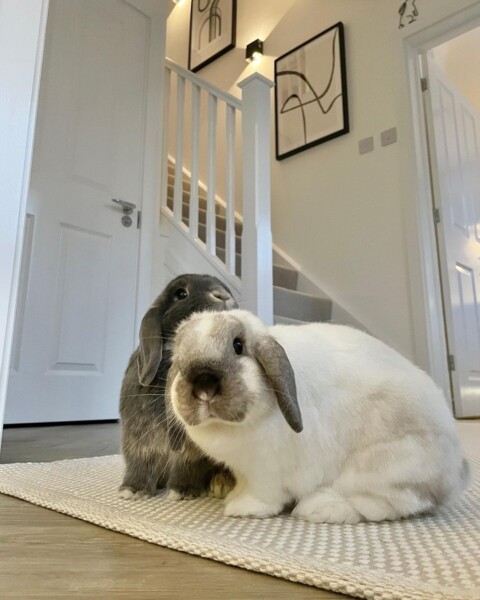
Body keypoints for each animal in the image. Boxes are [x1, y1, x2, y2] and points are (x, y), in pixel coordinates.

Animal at [119, 274, 237, 500]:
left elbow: (187, 464)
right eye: (181, 294)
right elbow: (141, 462)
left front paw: (182, 491)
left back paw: (221, 484)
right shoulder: (139, 439)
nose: (224, 296)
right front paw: (133, 490)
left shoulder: (192, 449)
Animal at [165, 312, 468, 524]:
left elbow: (263, 495)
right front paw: (233, 495)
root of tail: (454, 472)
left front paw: (242, 508)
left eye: (238, 346)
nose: (203, 387)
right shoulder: (245, 470)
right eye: (178, 359)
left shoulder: (265, 470)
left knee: (384, 504)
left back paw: (319, 509)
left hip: (385, 466)